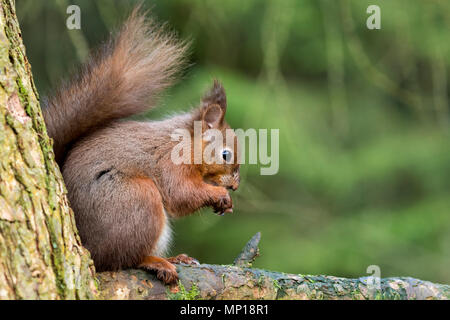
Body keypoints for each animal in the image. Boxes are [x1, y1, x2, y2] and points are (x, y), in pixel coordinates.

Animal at [41, 8, 239, 282]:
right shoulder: (170, 162)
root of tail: (87, 243)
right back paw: (157, 262)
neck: (186, 142)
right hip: (137, 199)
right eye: (225, 154)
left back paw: (175, 258)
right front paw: (219, 195)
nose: (235, 185)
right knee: (122, 259)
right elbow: (181, 194)